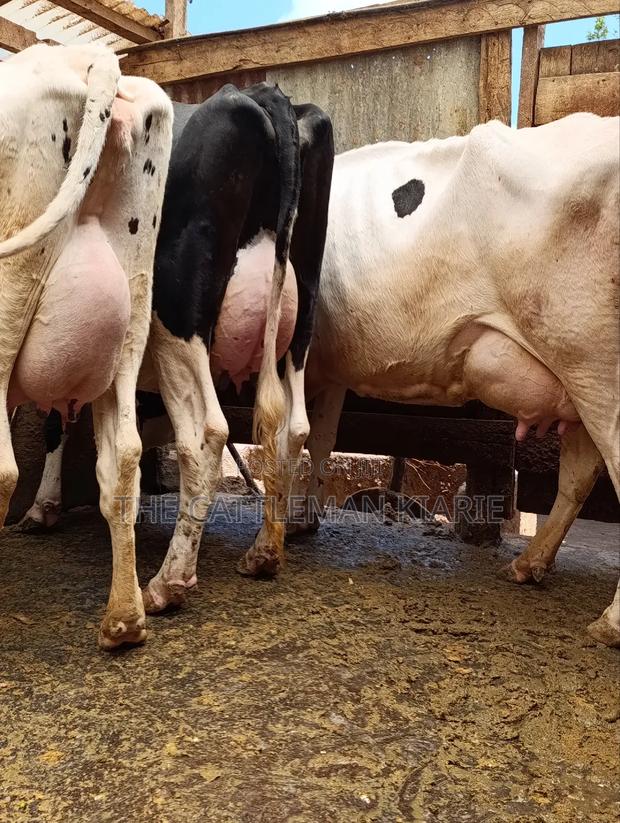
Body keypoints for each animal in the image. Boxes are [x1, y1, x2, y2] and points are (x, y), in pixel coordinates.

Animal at [18, 83, 335, 617]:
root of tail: (260, 93)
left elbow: (60, 420)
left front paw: (43, 507)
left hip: (177, 315)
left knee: (208, 431)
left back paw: (169, 580)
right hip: (300, 316)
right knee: (292, 427)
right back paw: (265, 550)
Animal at [287, 114, 620, 647]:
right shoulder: (333, 368)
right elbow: (321, 440)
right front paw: (305, 518)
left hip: (594, 365)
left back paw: (609, 622)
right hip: (579, 377)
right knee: (579, 473)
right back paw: (528, 565)